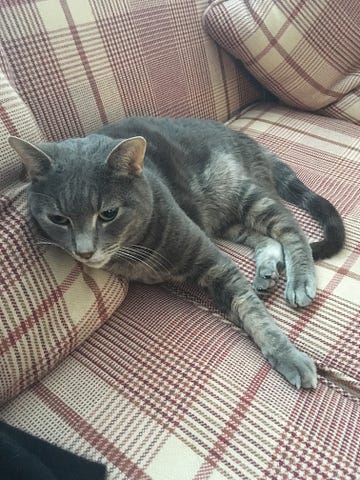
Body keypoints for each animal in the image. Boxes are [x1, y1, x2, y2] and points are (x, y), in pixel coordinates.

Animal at [9, 116, 344, 390]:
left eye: (108, 214)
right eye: (58, 219)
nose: (85, 251)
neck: (132, 254)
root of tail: (245, 137)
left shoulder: (213, 260)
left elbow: (254, 314)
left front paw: (289, 357)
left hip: (246, 194)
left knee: (291, 229)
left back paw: (299, 279)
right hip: (226, 221)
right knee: (265, 238)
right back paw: (266, 271)